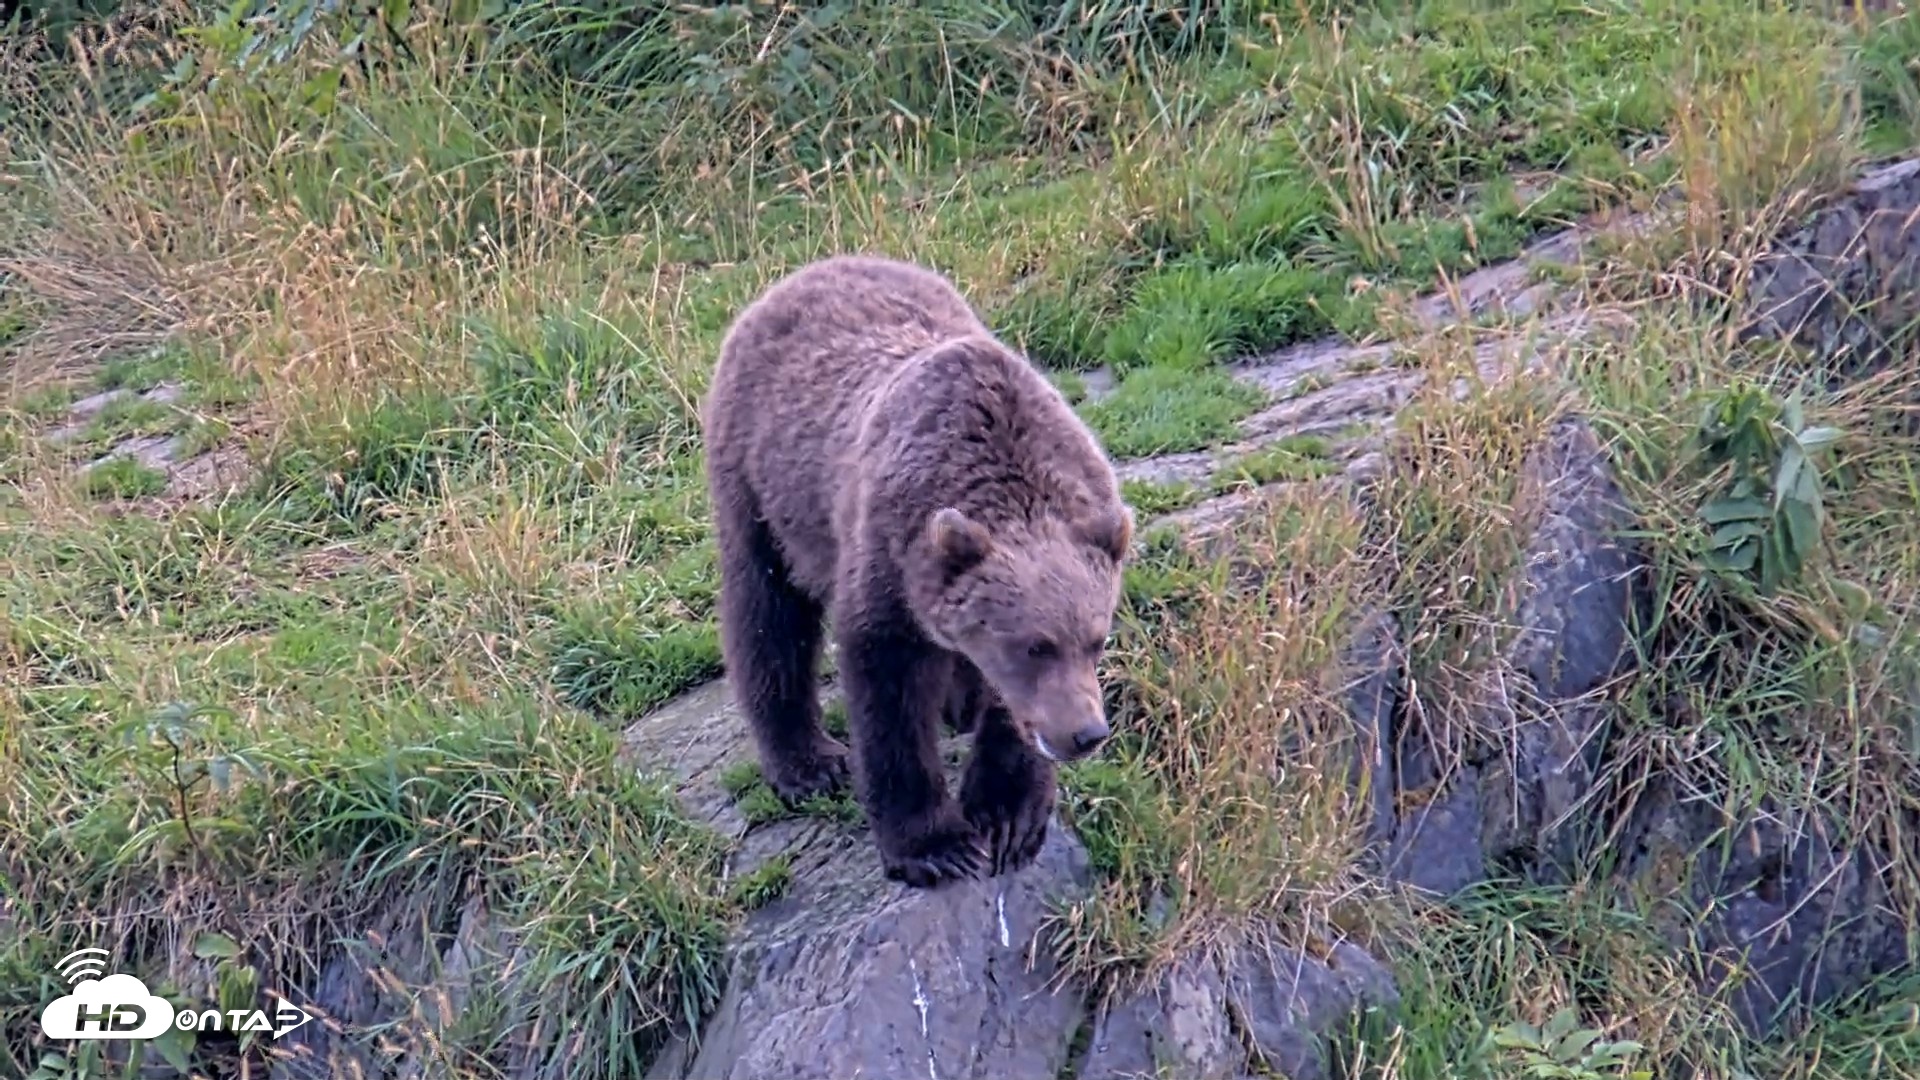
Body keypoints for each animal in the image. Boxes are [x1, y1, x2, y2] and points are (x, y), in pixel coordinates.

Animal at [701, 254, 1134, 889]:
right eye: (1035, 646)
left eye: (1097, 640)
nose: (1086, 734)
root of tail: (808, 270)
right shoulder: (889, 557)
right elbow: (889, 692)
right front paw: (936, 845)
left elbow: (1007, 718)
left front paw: (1006, 818)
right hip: (761, 482)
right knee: (766, 613)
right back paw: (807, 762)